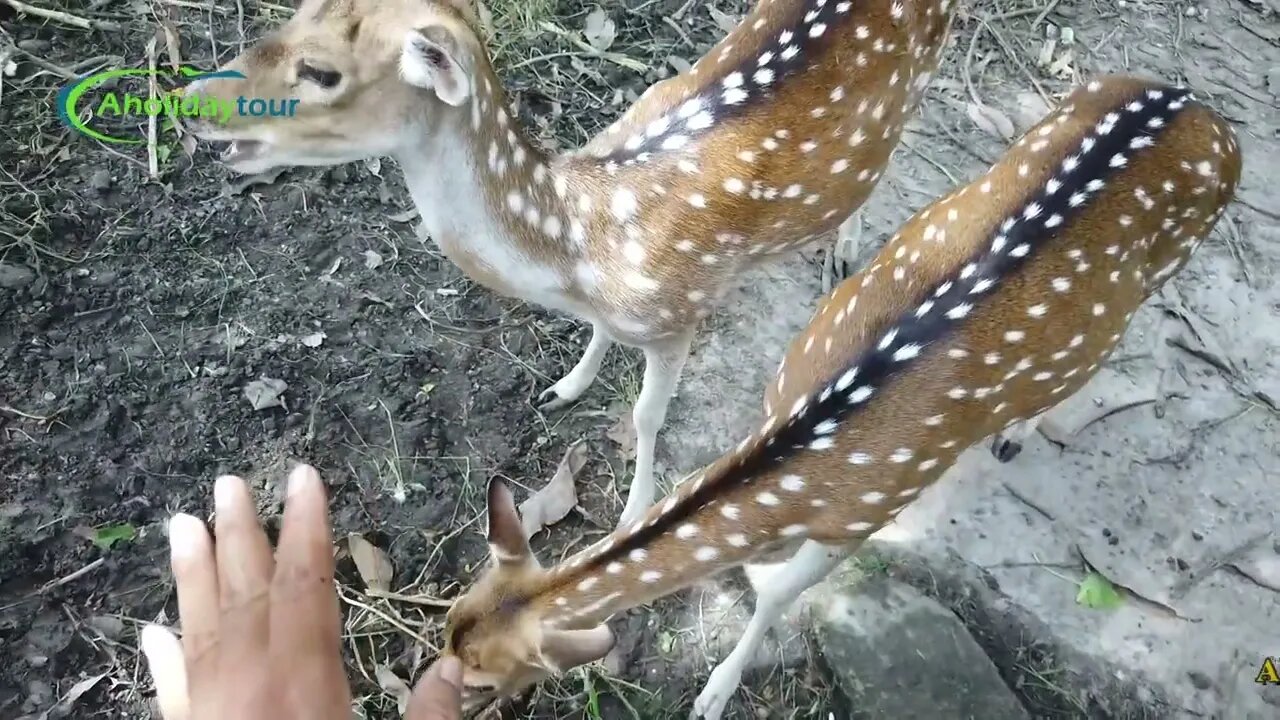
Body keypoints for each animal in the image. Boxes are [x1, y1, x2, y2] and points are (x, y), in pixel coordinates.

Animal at [183, 0, 962, 527]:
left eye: (321, 71)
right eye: (286, 17)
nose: (189, 99)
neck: (581, 243)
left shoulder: (677, 312)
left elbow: (647, 415)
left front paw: (634, 510)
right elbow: (596, 339)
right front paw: (564, 387)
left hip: (926, 76)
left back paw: (846, 251)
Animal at [430, 74, 1239, 717]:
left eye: (482, 674)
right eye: (447, 619)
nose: (440, 693)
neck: (808, 442)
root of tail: (1209, 114)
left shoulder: (866, 511)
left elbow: (779, 595)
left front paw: (715, 692)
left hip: (1172, 260)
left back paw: (1021, 429)